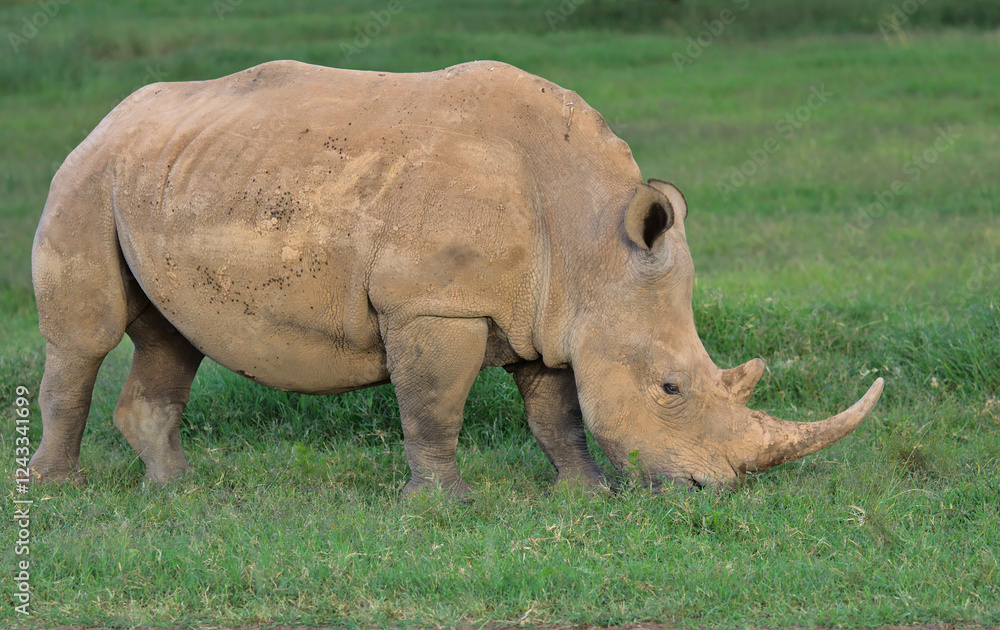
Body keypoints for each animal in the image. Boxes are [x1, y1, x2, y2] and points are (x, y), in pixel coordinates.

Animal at [29, 60, 883, 493]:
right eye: (672, 388)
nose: (718, 490)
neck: (592, 240)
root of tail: (108, 117)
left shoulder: (552, 310)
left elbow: (556, 411)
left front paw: (585, 494)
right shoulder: (432, 305)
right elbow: (434, 407)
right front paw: (440, 503)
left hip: (160, 174)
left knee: (172, 336)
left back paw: (173, 489)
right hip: (86, 177)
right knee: (86, 338)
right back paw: (59, 489)